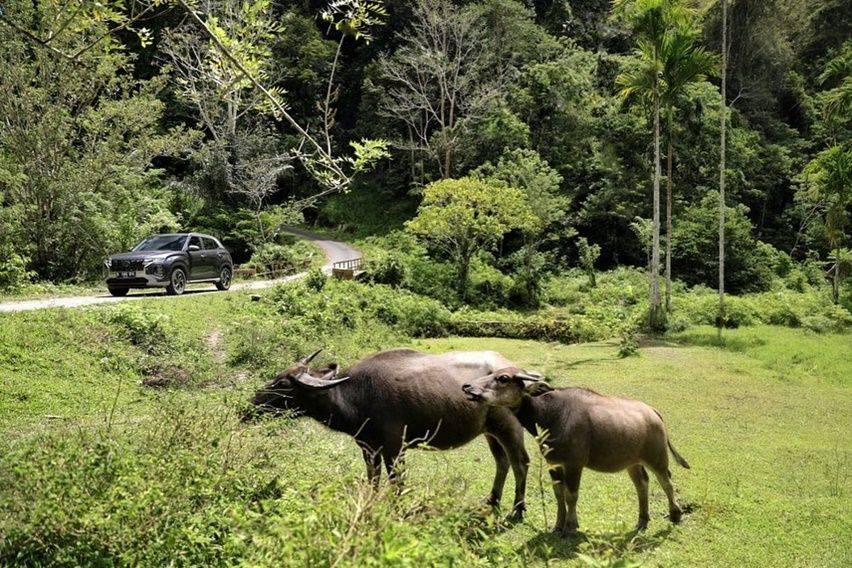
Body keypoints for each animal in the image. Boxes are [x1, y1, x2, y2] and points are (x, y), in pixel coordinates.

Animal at [243, 348, 528, 516]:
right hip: (490, 432)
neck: (355, 395)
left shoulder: (395, 449)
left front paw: (396, 509)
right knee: (501, 461)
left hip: (509, 428)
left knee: (520, 462)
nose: (250, 405)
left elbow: (396, 482)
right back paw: (492, 499)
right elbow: (373, 479)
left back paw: (517, 509)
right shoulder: (369, 448)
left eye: (283, 384)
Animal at [462, 366, 688, 536]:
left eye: (503, 378)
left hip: (657, 458)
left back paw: (675, 514)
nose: (467, 386)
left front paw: (571, 526)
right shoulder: (554, 464)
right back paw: (642, 520)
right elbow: (558, 494)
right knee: (642, 484)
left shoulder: (574, 465)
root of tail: (653, 413)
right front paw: (557, 525)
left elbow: (571, 495)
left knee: (667, 482)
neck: (551, 415)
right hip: (633, 462)